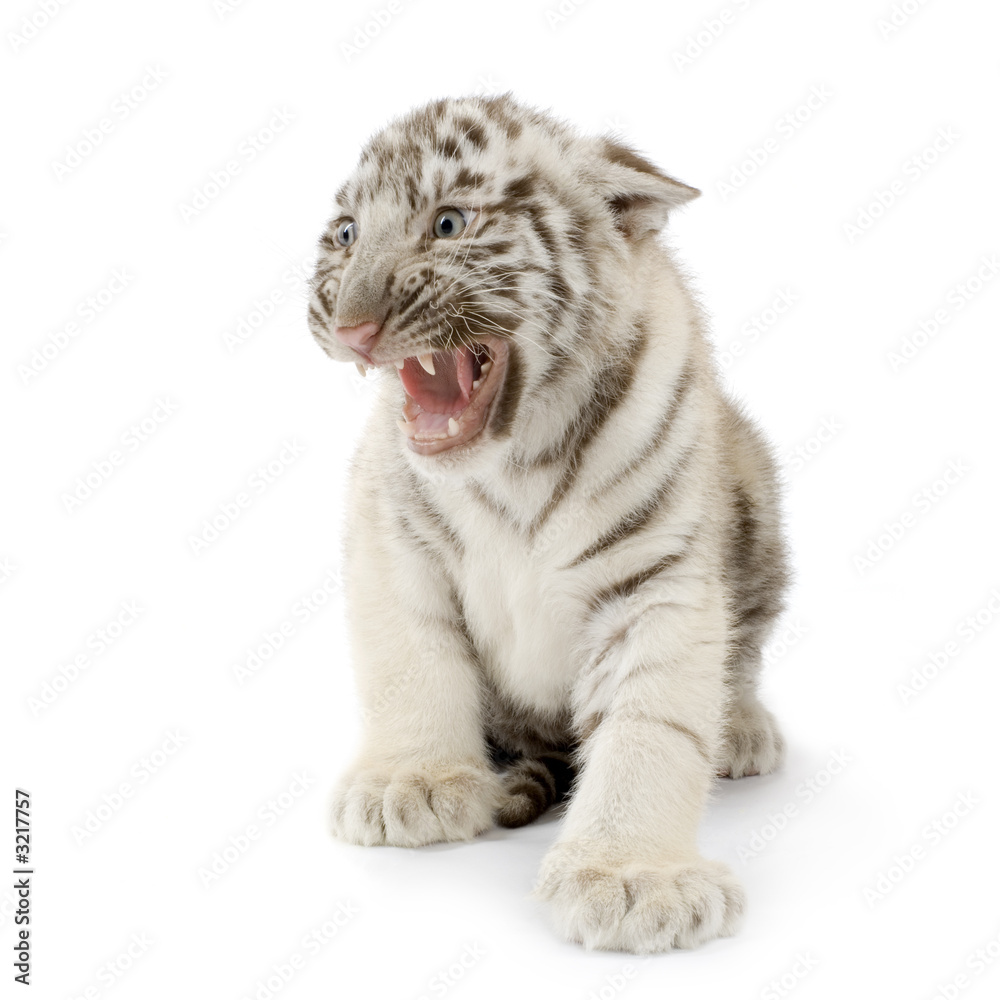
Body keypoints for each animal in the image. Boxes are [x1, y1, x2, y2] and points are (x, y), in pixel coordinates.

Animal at [308, 94, 790, 953]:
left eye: (449, 224)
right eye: (346, 234)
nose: (353, 327)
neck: (514, 456)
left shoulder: (654, 576)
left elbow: (651, 725)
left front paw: (634, 878)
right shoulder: (390, 537)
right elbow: (410, 663)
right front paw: (411, 780)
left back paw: (740, 730)